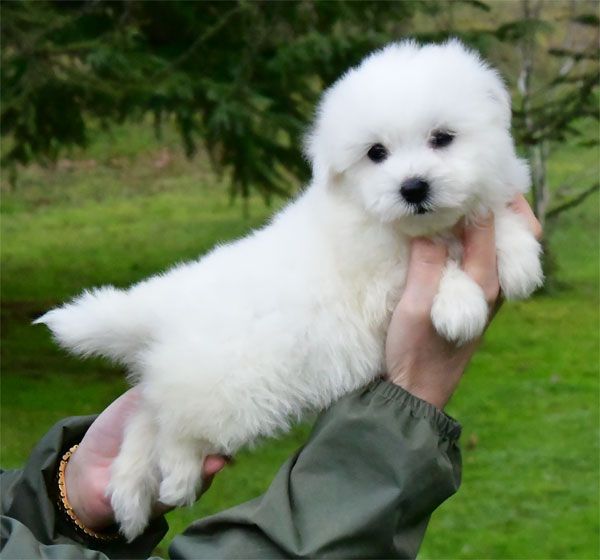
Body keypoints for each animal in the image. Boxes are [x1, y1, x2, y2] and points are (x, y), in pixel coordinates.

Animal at [36, 39, 544, 540]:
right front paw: (461, 304)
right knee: (172, 428)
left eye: (442, 138)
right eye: (376, 153)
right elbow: (440, 269)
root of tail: (165, 304)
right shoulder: (382, 278)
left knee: (143, 419)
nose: (413, 187)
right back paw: (176, 477)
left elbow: (496, 215)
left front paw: (519, 258)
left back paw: (129, 496)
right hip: (221, 390)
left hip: (180, 378)